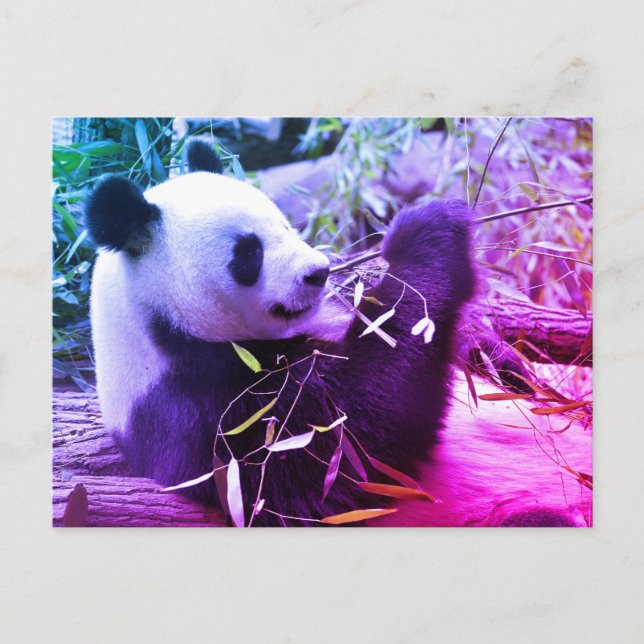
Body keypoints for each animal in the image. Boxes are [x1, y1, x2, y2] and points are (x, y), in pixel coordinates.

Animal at [86, 139, 589, 527]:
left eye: (284, 224)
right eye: (248, 253)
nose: (318, 272)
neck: (160, 327)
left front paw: (498, 355)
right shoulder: (203, 413)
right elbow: (358, 439)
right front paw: (424, 232)